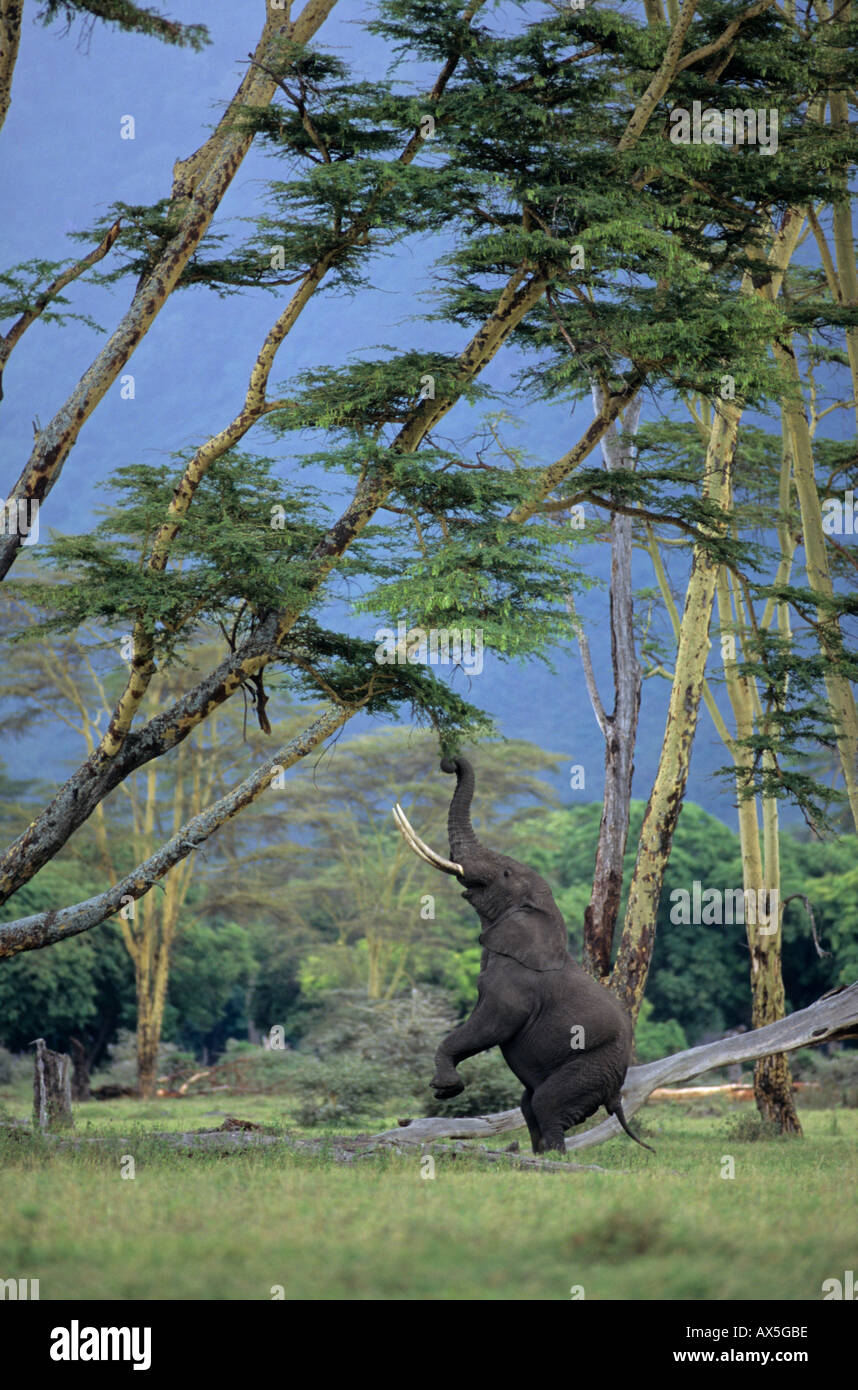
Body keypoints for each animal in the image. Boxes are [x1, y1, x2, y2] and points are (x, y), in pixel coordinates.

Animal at [392, 756, 648, 1156]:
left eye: (504, 873)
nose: (449, 762)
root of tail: (618, 1094)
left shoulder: (515, 987)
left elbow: (493, 1024)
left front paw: (446, 1089)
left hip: (592, 1064)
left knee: (546, 1103)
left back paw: (555, 1159)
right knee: (529, 1105)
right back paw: (539, 1155)